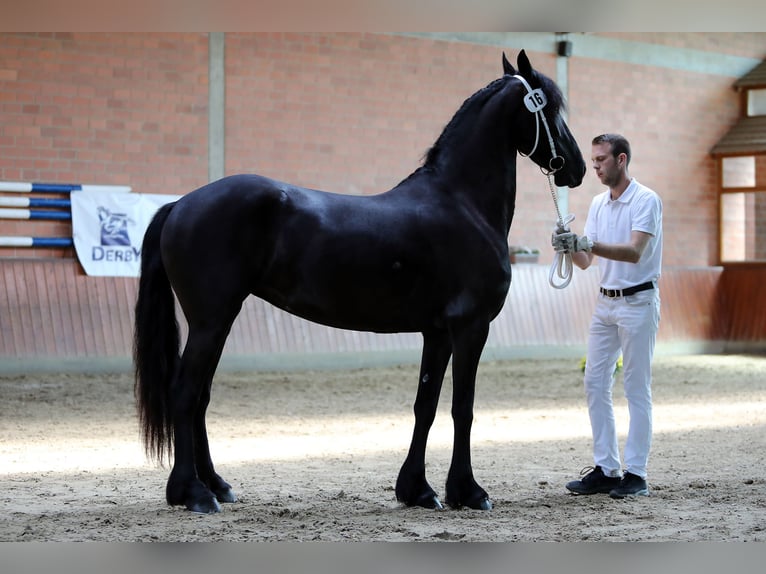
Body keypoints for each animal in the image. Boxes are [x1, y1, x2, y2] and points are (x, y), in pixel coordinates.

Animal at [135, 50, 584, 516]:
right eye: (550, 109)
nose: (577, 167)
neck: (461, 202)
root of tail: (180, 204)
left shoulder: (438, 332)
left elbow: (426, 405)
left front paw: (418, 489)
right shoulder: (470, 327)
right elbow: (463, 408)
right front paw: (469, 491)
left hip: (218, 322)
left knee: (200, 398)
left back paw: (216, 484)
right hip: (211, 321)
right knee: (184, 393)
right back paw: (193, 492)